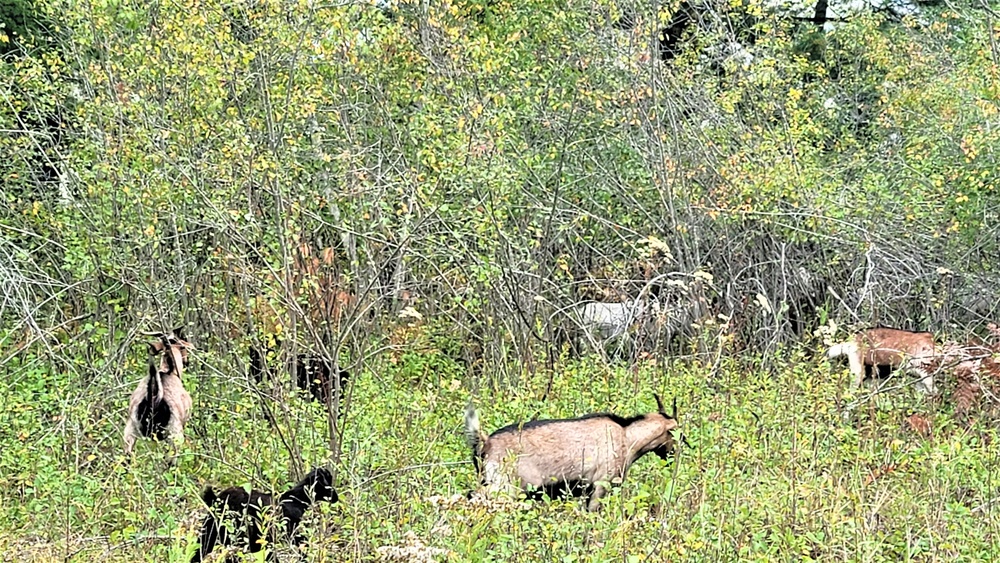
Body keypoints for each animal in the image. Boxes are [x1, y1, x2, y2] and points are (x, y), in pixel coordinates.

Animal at [123, 328, 193, 456]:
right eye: (183, 346)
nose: (187, 362)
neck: (169, 371)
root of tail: (154, 397)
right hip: (174, 433)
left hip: (130, 429)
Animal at [189, 468, 338, 563]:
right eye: (327, 482)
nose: (336, 497)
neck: (296, 500)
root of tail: (217, 500)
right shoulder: (287, 530)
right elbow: (301, 542)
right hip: (237, 534)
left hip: (211, 530)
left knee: (199, 550)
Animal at [464, 396, 676, 512]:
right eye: (676, 434)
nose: (672, 456)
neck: (627, 436)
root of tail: (486, 442)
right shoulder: (600, 485)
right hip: (504, 486)